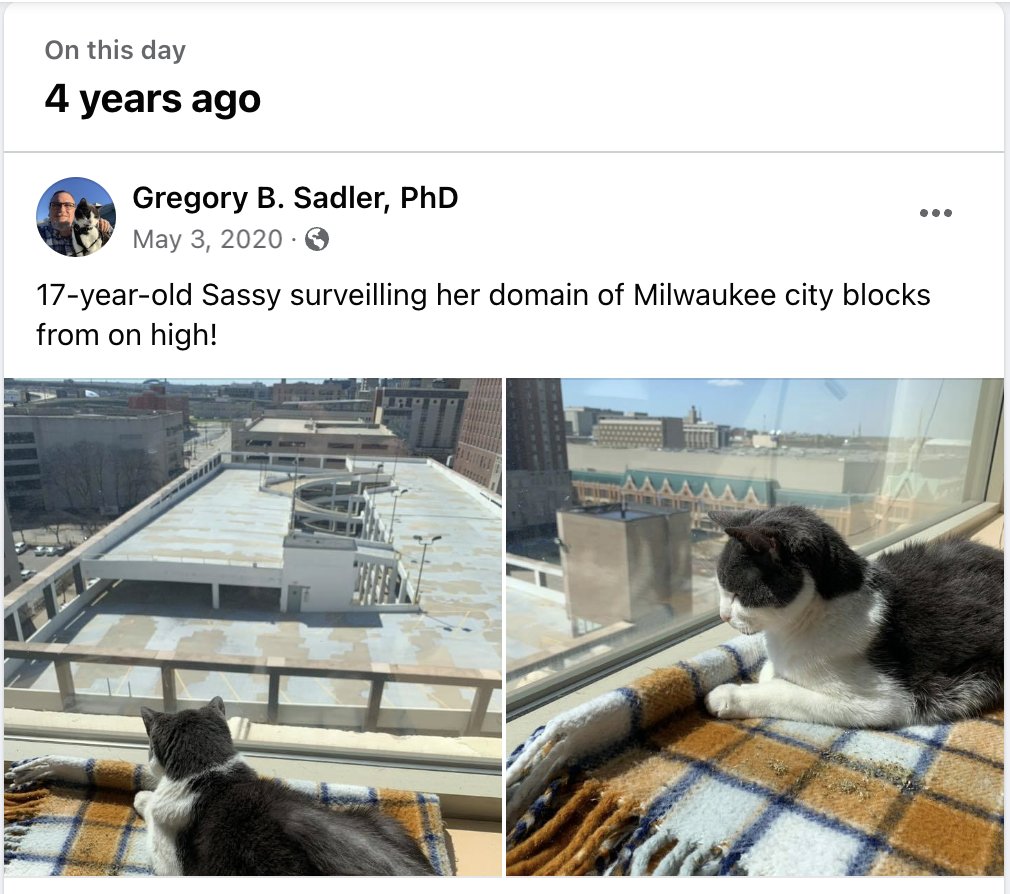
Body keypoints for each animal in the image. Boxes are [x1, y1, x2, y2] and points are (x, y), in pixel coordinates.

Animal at [134, 699, 434, 872]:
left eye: (148, 749)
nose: (147, 759)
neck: (210, 772)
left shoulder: (170, 862)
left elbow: (151, 814)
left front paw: (142, 798)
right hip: (382, 819)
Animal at [702, 505, 1001, 727]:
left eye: (737, 594)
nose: (723, 615)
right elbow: (771, 672)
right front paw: (772, 671)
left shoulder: (880, 700)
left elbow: (783, 691)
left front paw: (728, 696)